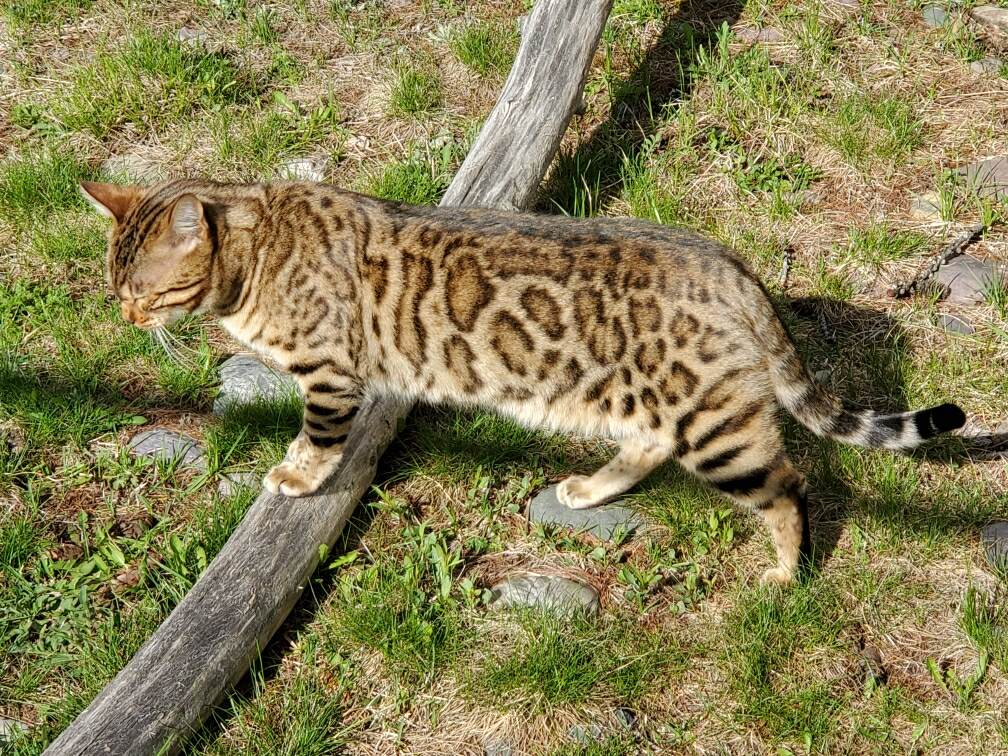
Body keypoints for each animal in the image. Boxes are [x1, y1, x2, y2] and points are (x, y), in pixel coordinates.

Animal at [82, 179, 963, 584]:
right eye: (114, 284)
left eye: (144, 291)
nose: (122, 315)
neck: (256, 252)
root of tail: (734, 268)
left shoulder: (330, 374)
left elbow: (317, 440)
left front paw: (295, 476)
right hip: (641, 400)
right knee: (649, 446)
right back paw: (587, 489)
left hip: (713, 426)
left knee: (784, 488)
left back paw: (784, 571)